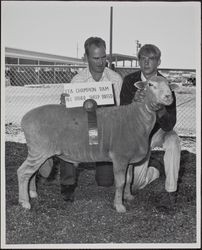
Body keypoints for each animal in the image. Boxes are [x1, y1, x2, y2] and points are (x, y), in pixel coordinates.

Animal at [18, 75, 178, 213]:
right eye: (151, 85)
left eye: (169, 85)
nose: (168, 97)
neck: (137, 119)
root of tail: (25, 118)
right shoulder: (120, 157)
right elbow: (120, 182)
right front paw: (119, 206)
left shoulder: (130, 159)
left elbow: (129, 179)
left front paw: (128, 197)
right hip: (38, 150)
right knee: (23, 172)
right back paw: (25, 202)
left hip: (38, 152)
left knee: (32, 173)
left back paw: (32, 194)